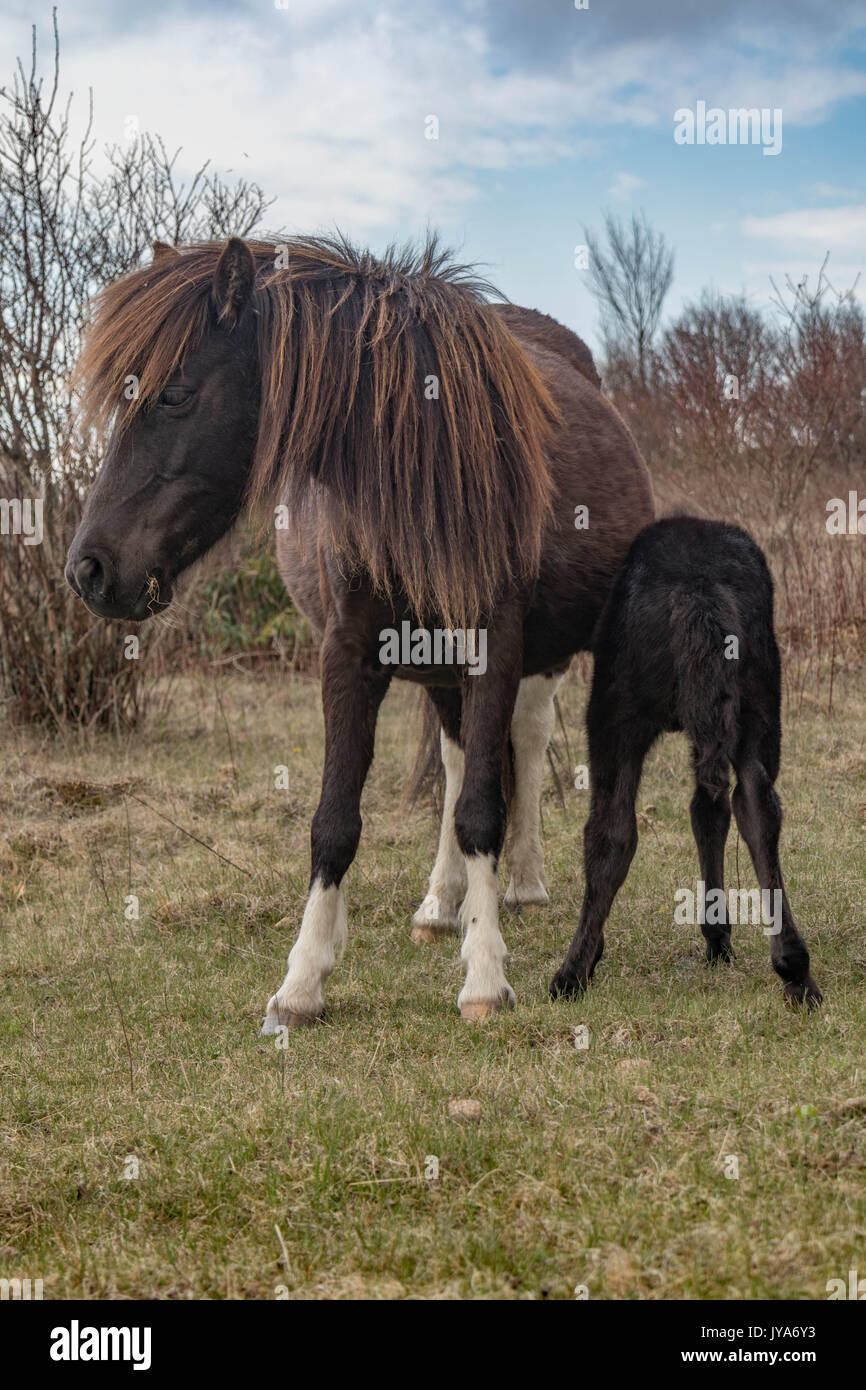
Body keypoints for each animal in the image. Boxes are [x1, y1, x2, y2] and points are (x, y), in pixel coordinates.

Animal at [67, 236, 653, 1023]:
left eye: (174, 394)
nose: (89, 570)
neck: (414, 470)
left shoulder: (494, 646)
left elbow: (480, 812)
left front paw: (485, 977)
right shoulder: (349, 654)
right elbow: (337, 819)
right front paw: (302, 982)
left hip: (531, 657)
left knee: (523, 744)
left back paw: (523, 883)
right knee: (458, 756)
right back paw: (442, 903)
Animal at [553, 517, 822, 1006]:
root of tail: (699, 590)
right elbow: (708, 812)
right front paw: (718, 933)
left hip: (614, 709)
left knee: (610, 828)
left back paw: (572, 971)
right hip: (758, 700)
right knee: (756, 805)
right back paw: (795, 969)